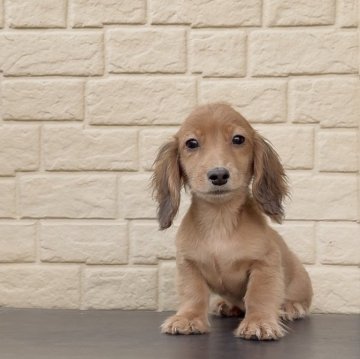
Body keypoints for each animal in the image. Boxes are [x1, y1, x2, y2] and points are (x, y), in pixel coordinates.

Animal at [152, 102, 312, 340]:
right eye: (191, 143)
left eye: (238, 139)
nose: (219, 175)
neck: (220, 220)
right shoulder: (188, 264)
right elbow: (193, 293)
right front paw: (188, 318)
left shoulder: (265, 264)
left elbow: (259, 295)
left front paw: (259, 322)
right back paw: (227, 305)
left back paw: (290, 307)